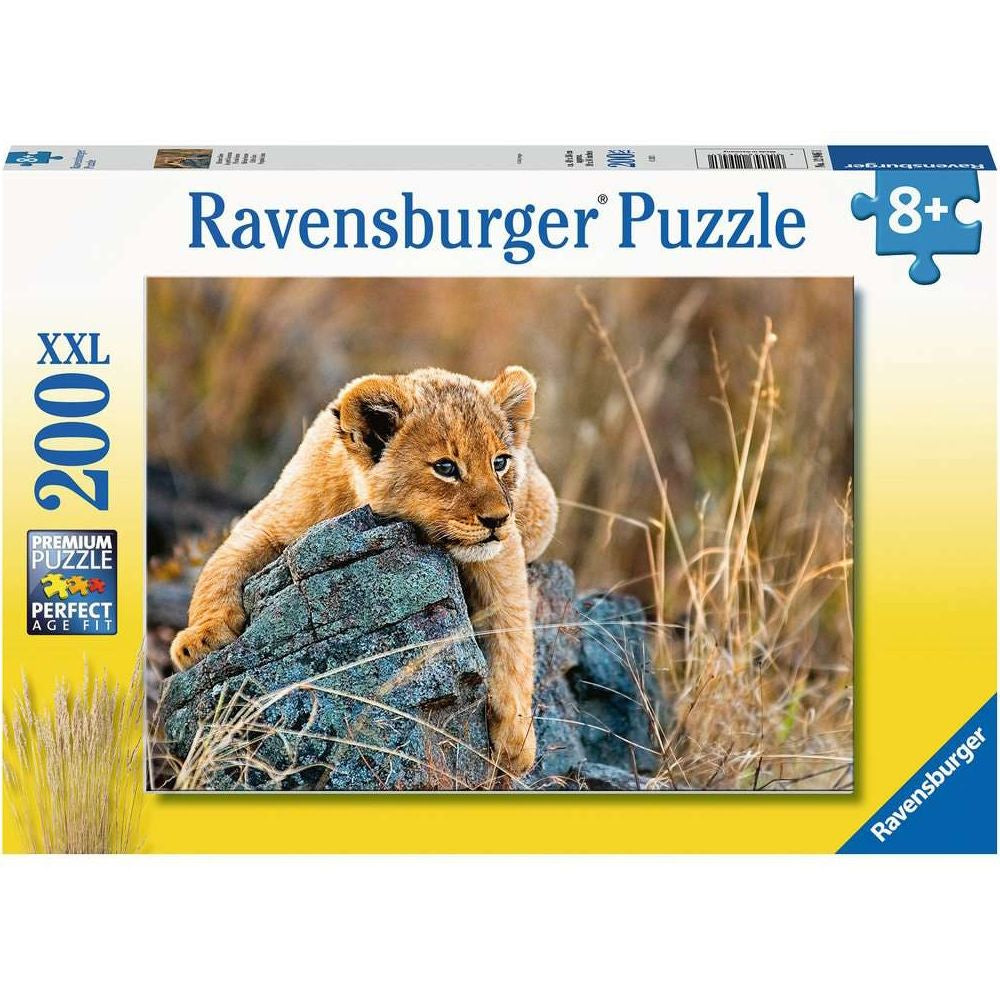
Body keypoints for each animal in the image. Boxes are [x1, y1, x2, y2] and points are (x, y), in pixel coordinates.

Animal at [170, 366, 558, 776]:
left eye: (500, 462)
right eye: (446, 468)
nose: (498, 519)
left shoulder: (502, 554)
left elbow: (513, 634)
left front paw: (516, 740)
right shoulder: (268, 520)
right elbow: (219, 567)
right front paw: (198, 640)